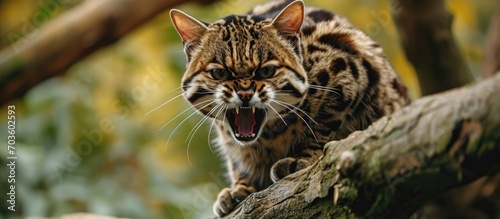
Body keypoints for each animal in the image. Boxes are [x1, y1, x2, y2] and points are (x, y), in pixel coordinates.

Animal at [170, 0, 408, 216]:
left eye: (267, 71)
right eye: (219, 73)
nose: (245, 93)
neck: (268, 136)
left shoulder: (347, 72)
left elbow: (323, 125)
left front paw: (303, 159)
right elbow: (236, 159)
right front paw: (240, 187)